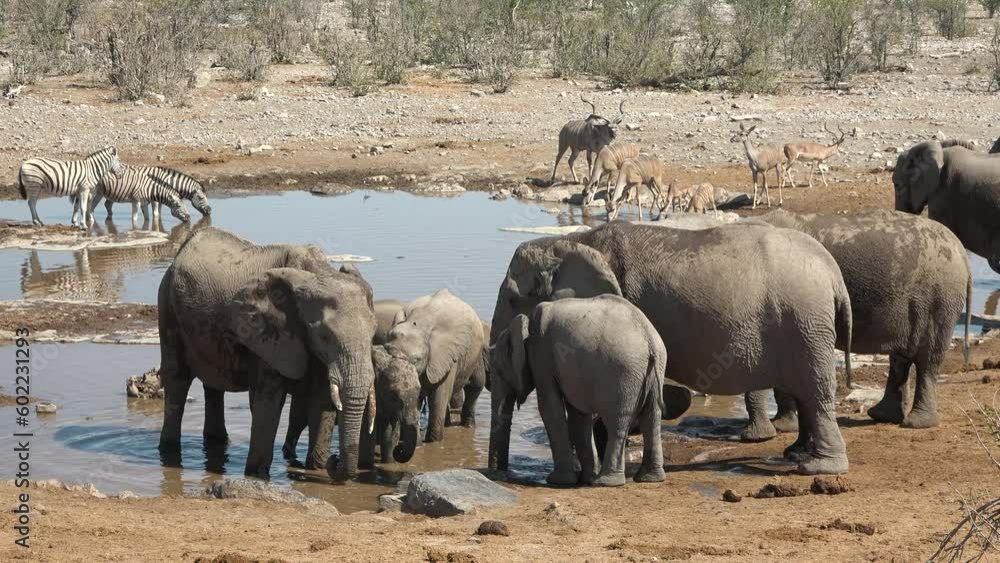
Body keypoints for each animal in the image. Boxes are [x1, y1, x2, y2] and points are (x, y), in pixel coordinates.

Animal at [157, 227, 376, 481]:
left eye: (373, 334)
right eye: (325, 336)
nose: (335, 459)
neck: (317, 276)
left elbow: (321, 400)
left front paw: (316, 468)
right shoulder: (269, 333)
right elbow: (269, 399)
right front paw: (257, 476)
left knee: (213, 385)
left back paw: (217, 442)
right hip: (167, 305)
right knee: (177, 379)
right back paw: (169, 452)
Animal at [384, 288, 487, 443]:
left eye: (417, 360)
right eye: (388, 353)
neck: (420, 323)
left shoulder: (447, 354)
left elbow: (439, 396)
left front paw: (433, 442)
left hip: (475, 353)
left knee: (475, 386)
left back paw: (468, 426)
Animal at [492, 295, 666, 487]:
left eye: (498, 369)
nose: (499, 474)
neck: (526, 322)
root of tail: (650, 340)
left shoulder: (542, 358)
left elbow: (550, 409)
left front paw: (559, 481)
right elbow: (578, 416)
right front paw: (585, 478)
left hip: (622, 374)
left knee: (617, 423)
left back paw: (606, 482)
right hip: (653, 371)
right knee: (651, 418)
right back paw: (649, 478)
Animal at [742, 210, 972, 439]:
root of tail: (962, 252)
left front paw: (763, 435)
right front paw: (781, 427)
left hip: (939, 298)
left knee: (928, 358)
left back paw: (916, 423)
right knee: (902, 357)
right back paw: (882, 416)